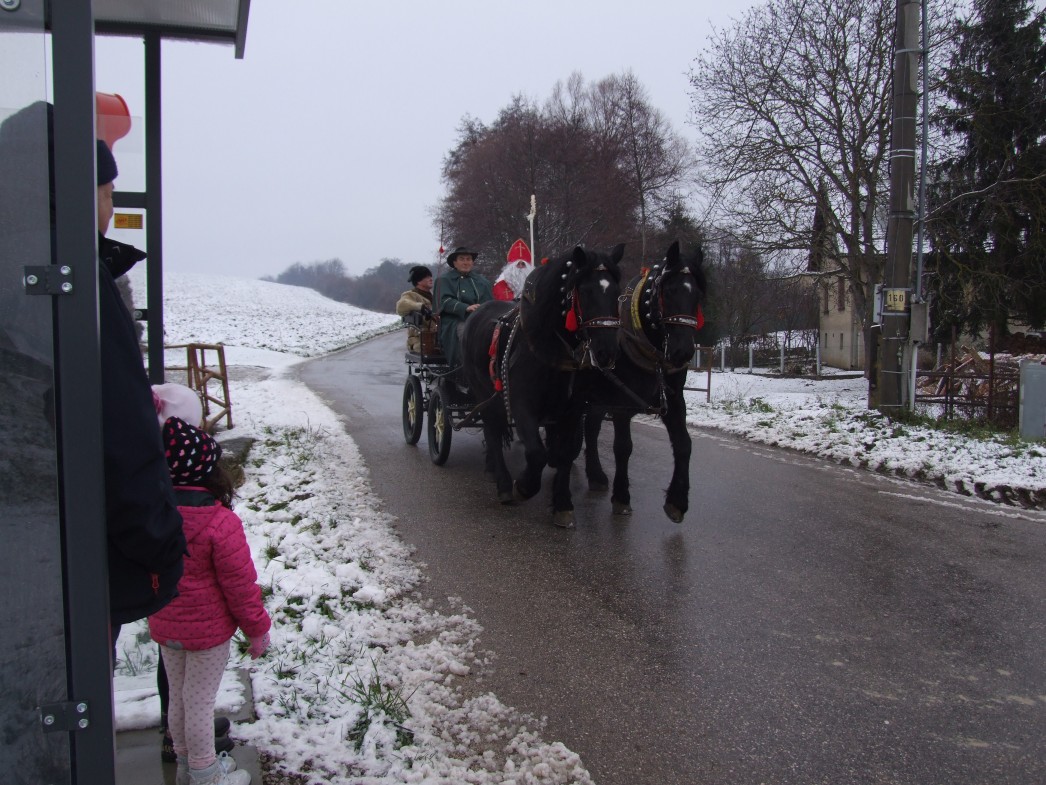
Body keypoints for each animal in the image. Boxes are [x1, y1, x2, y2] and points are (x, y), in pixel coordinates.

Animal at [460, 244, 624, 528]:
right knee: (492, 432)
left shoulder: (572, 410)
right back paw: (503, 483)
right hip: (484, 395)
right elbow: (537, 453)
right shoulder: (521, 405)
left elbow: (566, 451)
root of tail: (477, 312)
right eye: (585, 290)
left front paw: (562, 503)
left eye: (616, 291)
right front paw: (524, 486)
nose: (607, 352)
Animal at [583, 240, 707, 523]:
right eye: (669, 291)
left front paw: (677, 501)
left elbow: (684, 444)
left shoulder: (674, 400)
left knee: (591, 428)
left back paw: (595, 475)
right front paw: (621, 497)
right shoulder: (622, 404)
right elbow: (623, 447)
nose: (683, 352)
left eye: (696, 293)